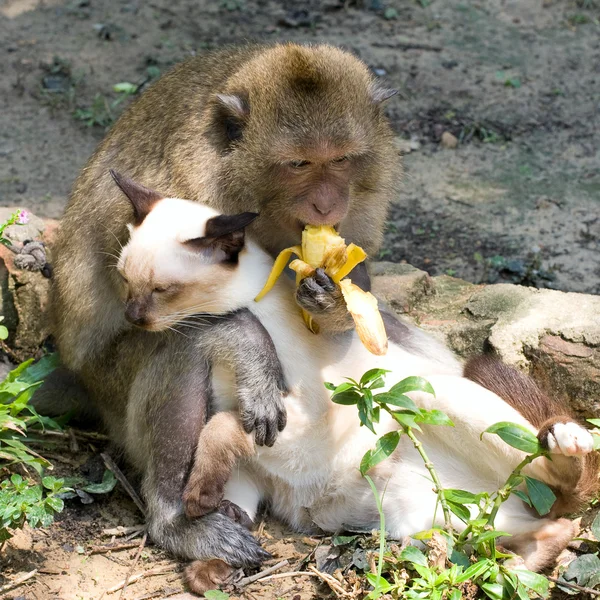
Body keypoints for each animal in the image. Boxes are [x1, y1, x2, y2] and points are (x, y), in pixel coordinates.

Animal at [115, 175, 596, 596]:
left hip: (429, 396)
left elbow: (221, 428)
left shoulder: (297, 422)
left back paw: (566, 443)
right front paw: (216, 536)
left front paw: (203, 510)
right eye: (123, 280)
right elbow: (222, 478)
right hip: (423, 517)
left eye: (163, 289)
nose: (132, 317)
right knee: (540, 532)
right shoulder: (252, 467)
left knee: (565, 485)